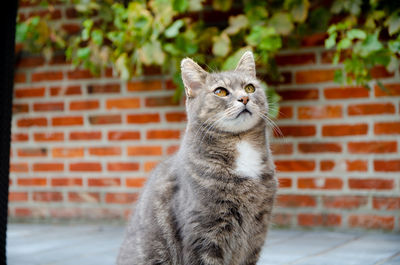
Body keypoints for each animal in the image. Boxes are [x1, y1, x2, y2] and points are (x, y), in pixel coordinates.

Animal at [117, 51, 276, 264]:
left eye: (249, 87)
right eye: (220, 92)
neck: (240, 145)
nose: (244, 98)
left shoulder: (256, 233)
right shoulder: (204, 235)